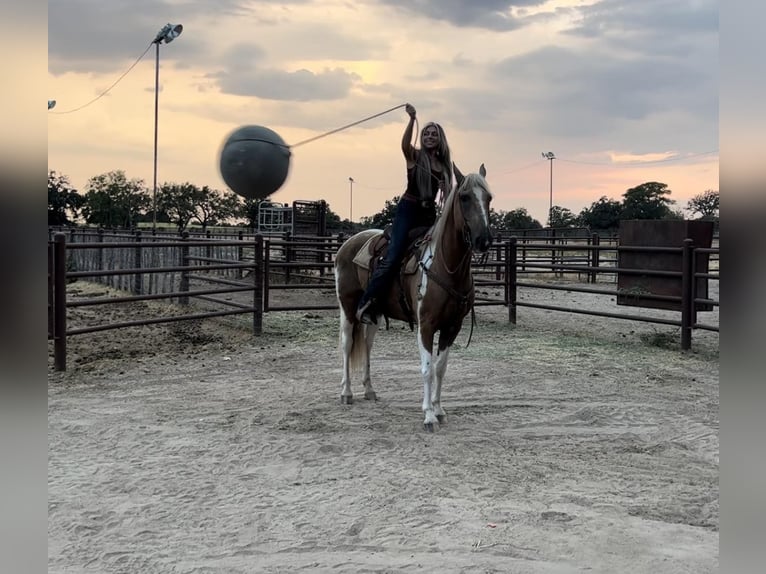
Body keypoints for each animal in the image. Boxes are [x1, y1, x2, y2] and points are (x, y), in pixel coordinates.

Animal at [334, 164, 492, 430]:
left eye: (489, 198)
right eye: (464, 197)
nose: (483, 240)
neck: (445, 266)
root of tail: (348, 244)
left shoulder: (452, 327)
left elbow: (440, 368)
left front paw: (439, 410)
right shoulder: (426, 326)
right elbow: (427, 368)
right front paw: (428, 415)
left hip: (374, 313)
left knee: (367, 345)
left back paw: (369, 389)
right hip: (347, 307)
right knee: (347, 344)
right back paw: (346, 393)